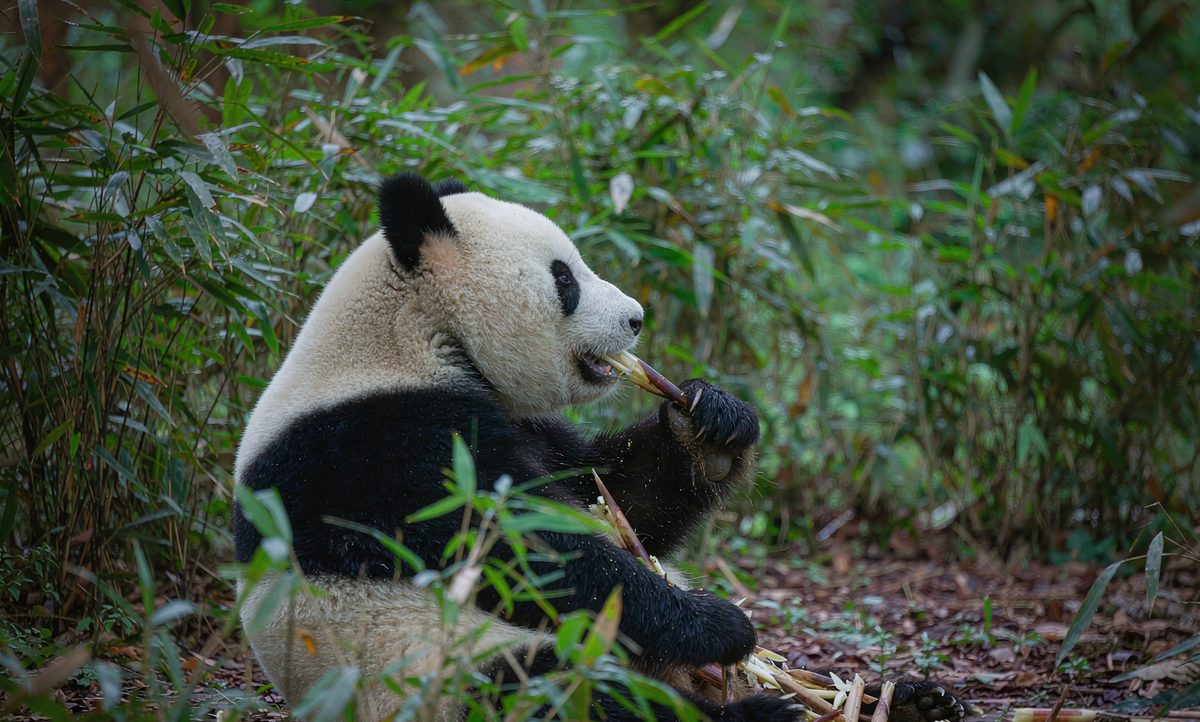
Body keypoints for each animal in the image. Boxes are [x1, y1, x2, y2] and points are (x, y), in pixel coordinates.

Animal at [233, 174, 969, 722]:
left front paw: (712, 424)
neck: (408, 336)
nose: (637, 318)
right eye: (565, 279)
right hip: (434, 670)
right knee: (565, 693)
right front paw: (718, 622)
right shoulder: (377, 445)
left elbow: (613, 497)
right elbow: (526, 553)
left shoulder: (515, 421)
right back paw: (761, 712)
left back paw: (903, 699)